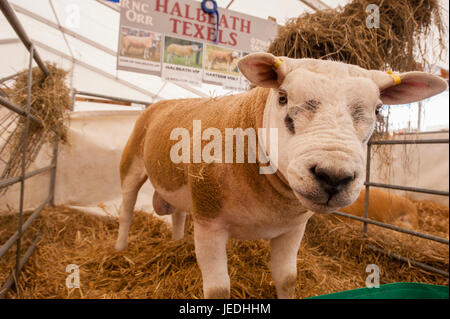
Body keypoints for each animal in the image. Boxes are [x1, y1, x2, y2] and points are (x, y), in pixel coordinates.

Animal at [113, 51, 446, 298]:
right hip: (131, 165)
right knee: (127, 211)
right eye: (283, 97)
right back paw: (119, 248)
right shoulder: (209, 223)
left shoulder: (293, 228)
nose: (333, 176)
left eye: (377, 110)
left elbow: (287, 279)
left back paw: (176, 242)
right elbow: (219, 290)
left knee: (178, 214)